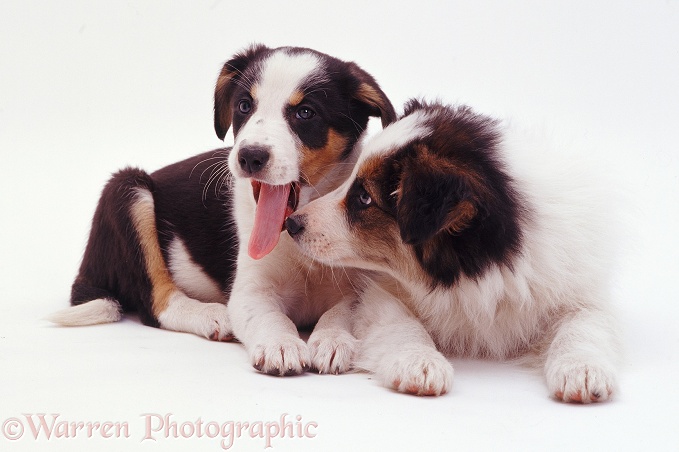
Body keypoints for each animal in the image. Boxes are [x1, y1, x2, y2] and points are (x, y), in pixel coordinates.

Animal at [286, 100, 620, 402]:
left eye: (365, 198)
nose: (291, 224)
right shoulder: (378, 290)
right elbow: (398, 322)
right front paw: (420, 362)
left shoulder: (578, 289)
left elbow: (582, 323)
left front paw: (581, 370)